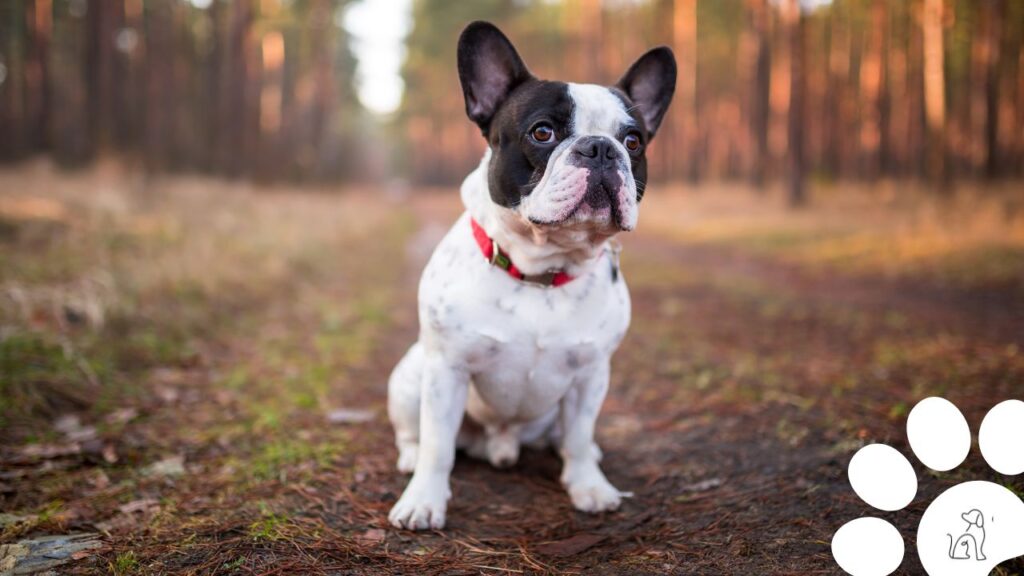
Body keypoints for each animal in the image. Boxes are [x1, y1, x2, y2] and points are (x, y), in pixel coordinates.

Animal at [385, 21, 671, 528]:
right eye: (542, 132)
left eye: (633, 141)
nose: (600, 148)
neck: (543, 270)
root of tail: (501, 442)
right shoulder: (447, 370)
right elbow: (438, 445)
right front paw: (423, 501)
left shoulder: (591, 375)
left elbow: (578, 435)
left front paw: (589, 487)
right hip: (410, 376)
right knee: (415, 434)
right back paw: (409, 458)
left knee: (569, 437)